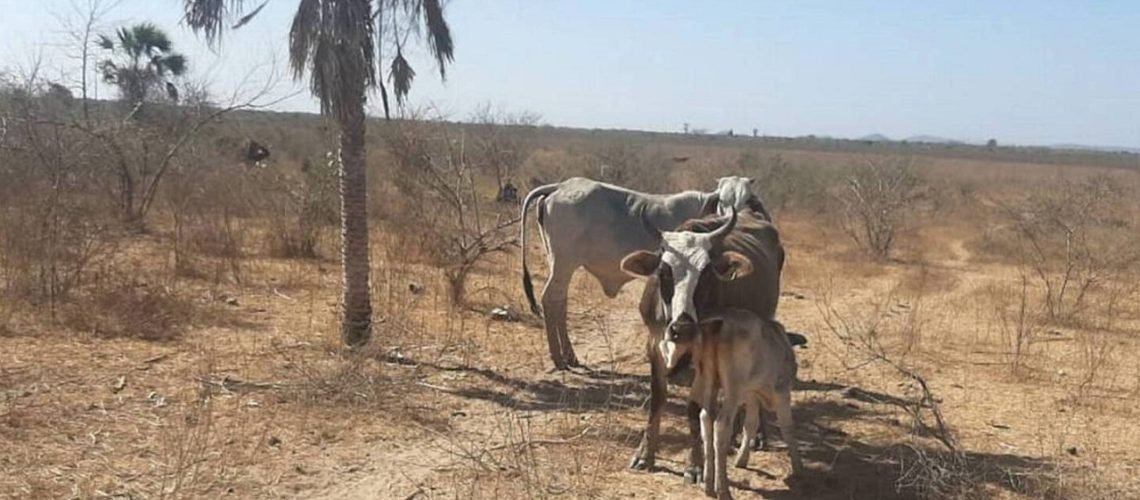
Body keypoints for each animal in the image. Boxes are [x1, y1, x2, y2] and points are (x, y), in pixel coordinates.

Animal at [522, 177, 761, 369]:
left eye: (746, 199)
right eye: (723, 200)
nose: (736, 218)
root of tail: (560, 186)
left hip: (560, 265)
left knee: (559, 302)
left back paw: (569, 356)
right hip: (563, 263)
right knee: (551, 299)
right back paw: (559, 358)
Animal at [615, 206, 784, 480]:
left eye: (706, 275)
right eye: (663, 272)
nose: (682, 328)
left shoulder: (705, 355)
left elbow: (694, 408)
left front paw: (694, 463)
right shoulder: (654, 345)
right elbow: (657, 399)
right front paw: (644, 454)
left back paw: (755, 435)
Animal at [661, 309, 802, 496]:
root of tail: (719, 325)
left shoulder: (751, 394)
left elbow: (750, 424)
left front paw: (742, 459)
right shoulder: (781, 392)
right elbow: (788, 428)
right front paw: (798, 468)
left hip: (709, 380)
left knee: (706, 418)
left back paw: (708, 484)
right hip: (733, 388)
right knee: (721, 425)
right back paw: (722, 489)